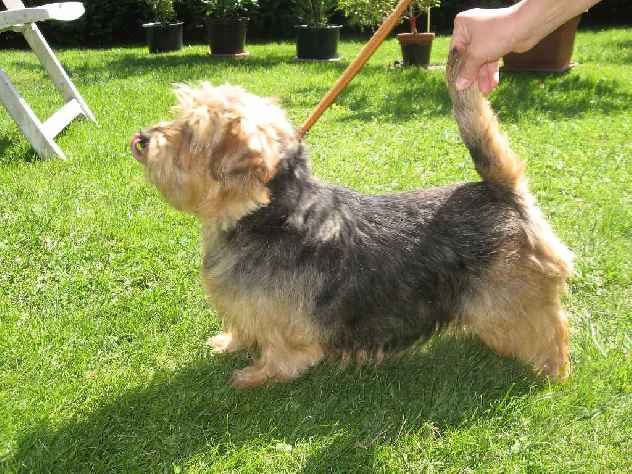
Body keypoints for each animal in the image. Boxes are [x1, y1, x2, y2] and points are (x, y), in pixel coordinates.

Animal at [128, 49, 572, 388]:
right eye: (179, 117)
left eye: (191, 134)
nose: (141, 139)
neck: (267, 213)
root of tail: (502, 191)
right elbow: (242, 328)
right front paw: (228, 343)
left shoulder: (284, 327)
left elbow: (281, 354)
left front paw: (256, 375)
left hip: (512, 302)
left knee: (551, 330)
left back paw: (552, 371)